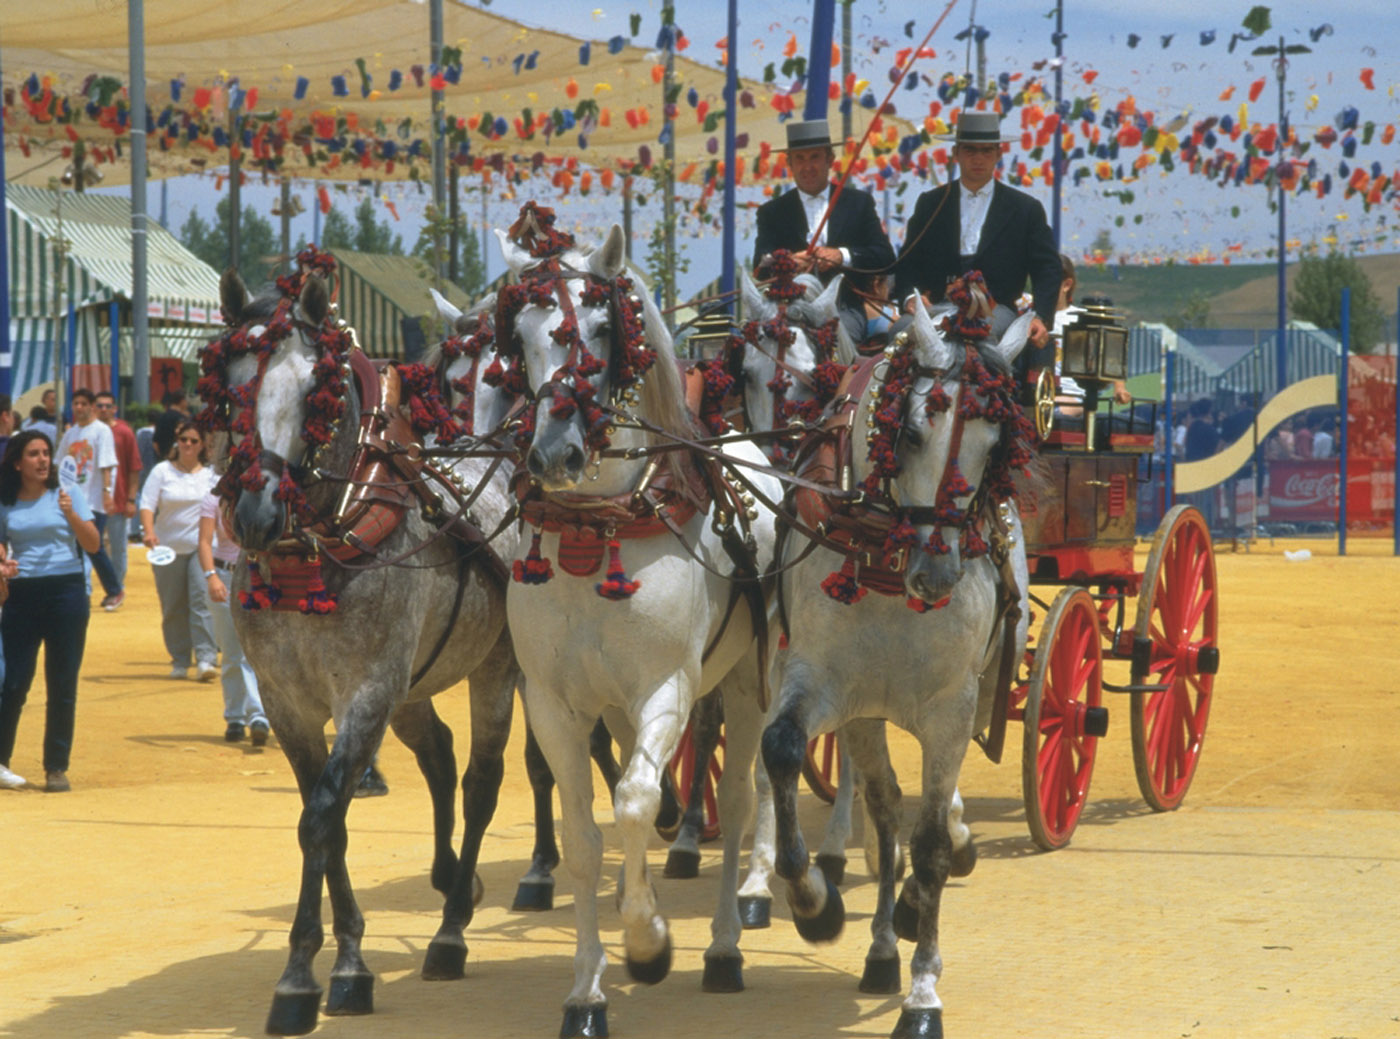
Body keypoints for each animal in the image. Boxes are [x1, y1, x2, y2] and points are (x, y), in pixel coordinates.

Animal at [492, 207, 778, 1036]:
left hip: (751, 680)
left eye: (598, 322)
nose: (555, 451)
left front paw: (649, 942)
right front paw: (588, 987)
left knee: (742, 795)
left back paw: (724, 941)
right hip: (617, 706)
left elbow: (635, 801)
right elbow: (588, 836)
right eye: (518, 333)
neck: (600, 522)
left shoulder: (668, 687)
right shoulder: (554, 703)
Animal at [761, 295, 1036, 1039]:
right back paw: (884, 942)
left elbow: (934, 840)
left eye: (995, 447)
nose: (938, 573)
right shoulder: (824, 683)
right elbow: (783, 749)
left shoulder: (952, 705)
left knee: (928, 820)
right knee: (884, 811)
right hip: (866, 714)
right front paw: (813, 902)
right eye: (909, 433)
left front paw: (923, 994)